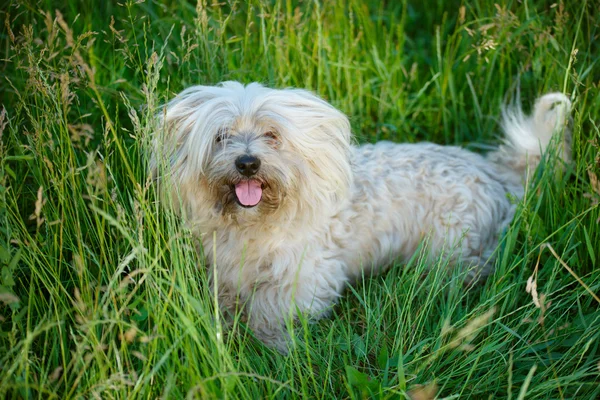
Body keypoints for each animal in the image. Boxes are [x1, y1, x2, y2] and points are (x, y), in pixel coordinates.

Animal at [150, 82, 572, 354]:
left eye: (272, 135)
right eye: (222, 136)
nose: (247, 163)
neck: (259, 222)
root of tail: (497, 173)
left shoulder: (303, 279)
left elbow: (272, 317)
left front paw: (276, 351)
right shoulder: (226, 273)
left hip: (452, 248)